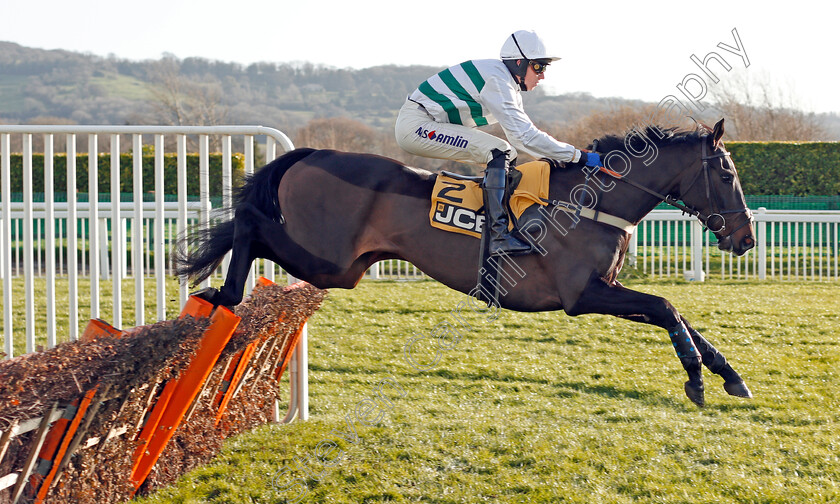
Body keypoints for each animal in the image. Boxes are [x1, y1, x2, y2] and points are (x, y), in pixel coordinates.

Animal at [176, 119, 756, 410]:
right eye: (727, 173)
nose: (746, 237)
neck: (594, 201)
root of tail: (312, 153)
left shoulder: (605, 289)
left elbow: (677, 314)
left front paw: (728, 375)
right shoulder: (582, 294)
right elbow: (666, 306)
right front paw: (697, 381)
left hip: (339, 264)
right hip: (326, 259)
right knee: (249, 225)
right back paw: (223, 294)